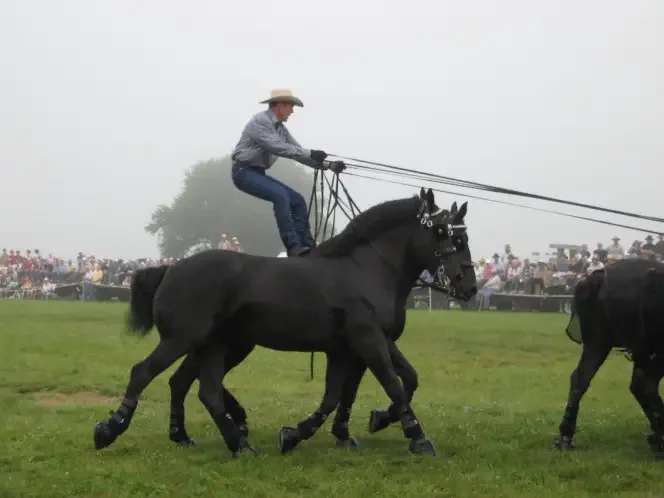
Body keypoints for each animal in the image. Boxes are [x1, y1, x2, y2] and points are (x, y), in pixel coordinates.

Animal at [94, 189, 478, 458]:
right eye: (446, 234)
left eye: (464, 236)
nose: (469, 286)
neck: (366, 268)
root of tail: (169, 269)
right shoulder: (367, 340)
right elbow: (392, 386)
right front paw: (418, 437)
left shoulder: (357, 346)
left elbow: (353, 392)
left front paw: (313, 432)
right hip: (185, 340)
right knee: (145, 374)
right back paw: (110, 430)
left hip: (216, 344)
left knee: (197, 386)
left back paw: (215, 438)